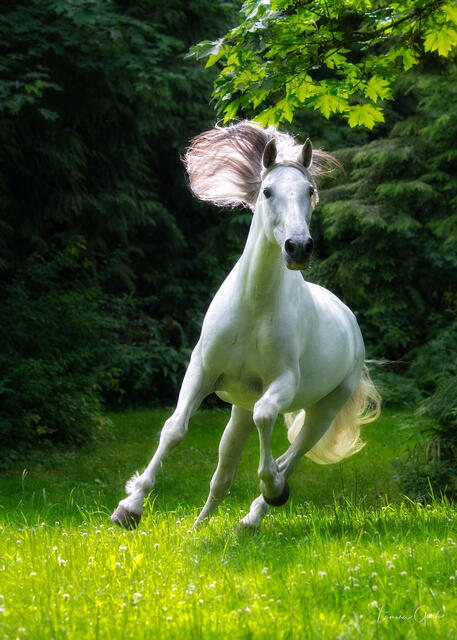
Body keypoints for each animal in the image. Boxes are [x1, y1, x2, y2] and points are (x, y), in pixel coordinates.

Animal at [111, 121, 381, 530]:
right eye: (267, 191)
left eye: (310, 191)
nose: (298, 247)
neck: (254, 306)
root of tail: (349, 320)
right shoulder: (202, 370)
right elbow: (174, 429)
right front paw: (130, 507)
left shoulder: (283, 382)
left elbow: (266, 417)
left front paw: (272, 487)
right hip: (238, 411)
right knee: (224, 474)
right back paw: (203, 528)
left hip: (324, 410)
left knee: (291, 457)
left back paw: (259, 510)